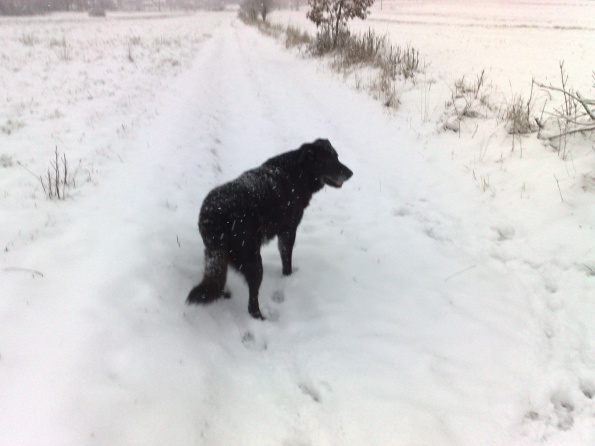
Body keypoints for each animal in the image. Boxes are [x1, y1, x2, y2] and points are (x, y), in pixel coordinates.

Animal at [186, 138, 353, 319]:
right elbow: (286, 259)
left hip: (218, 255)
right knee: (252, 301)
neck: (298, 173)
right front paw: (288, 278)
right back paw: (260, 318)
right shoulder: (288, 231)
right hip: (253, 260)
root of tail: (215, 215)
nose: (351, 173)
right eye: (328, 160)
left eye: (337, 156)